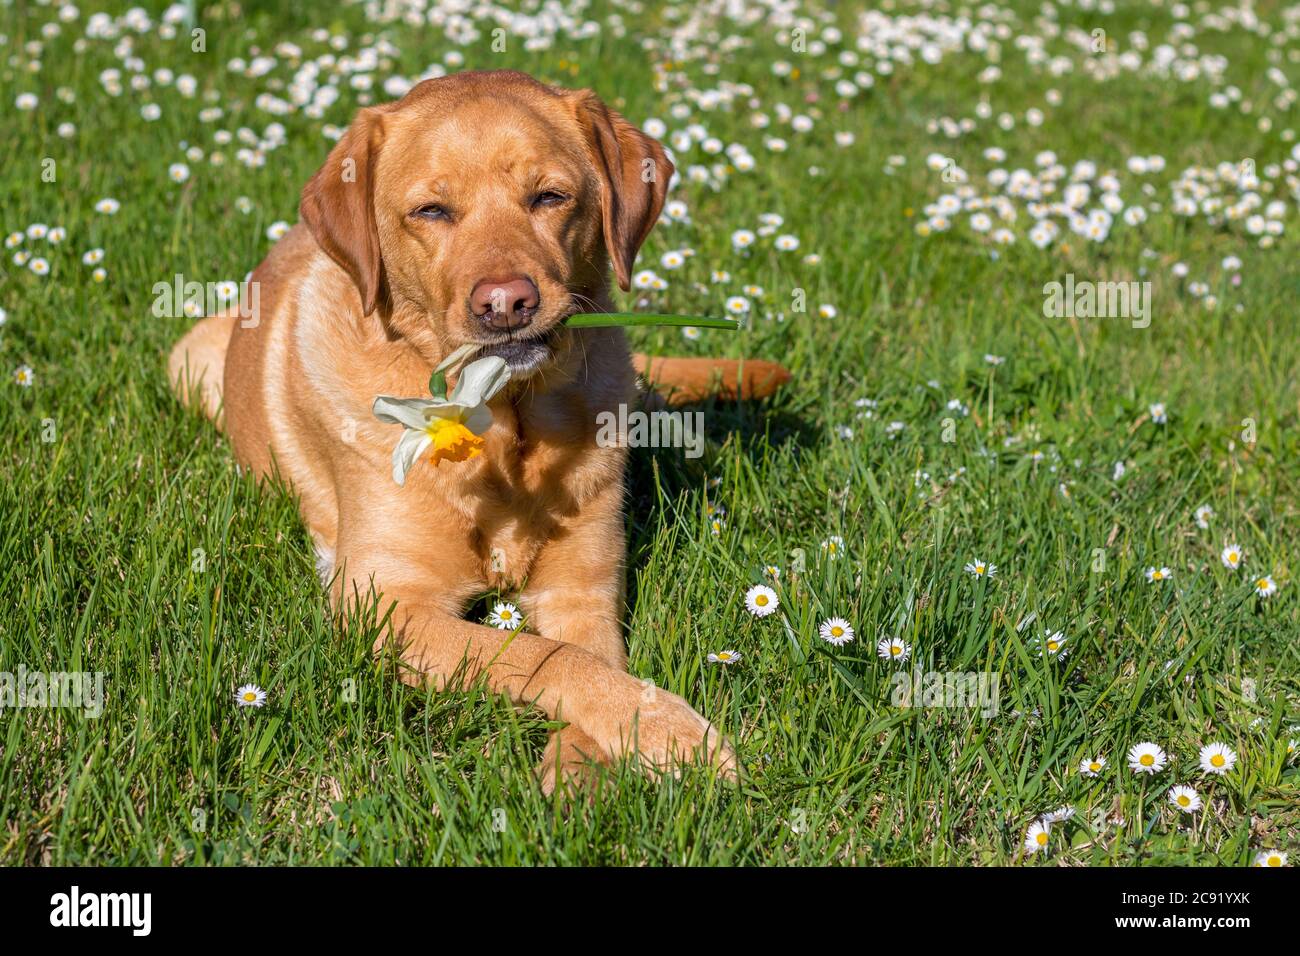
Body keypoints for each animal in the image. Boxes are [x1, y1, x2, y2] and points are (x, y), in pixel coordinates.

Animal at [167, 69, 785, 790]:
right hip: (187, 360)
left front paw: (593, 759)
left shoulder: (583, 589)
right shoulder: (387, 604)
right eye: (431, 211)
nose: (506, 302)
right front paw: (670, 730)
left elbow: (591, 658)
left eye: (550, 196)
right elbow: (539, 656)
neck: (504, 426)